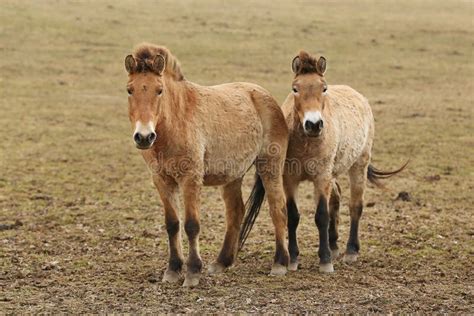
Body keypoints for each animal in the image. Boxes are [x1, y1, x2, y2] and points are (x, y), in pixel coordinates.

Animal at [124, 43, 288, 288]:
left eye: (159, 90)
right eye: (130, 90)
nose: (144, 137)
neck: (177, 120)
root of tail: (264, 95)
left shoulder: (190, 178)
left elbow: (191, 224)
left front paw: (192, 272)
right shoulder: (162, 180)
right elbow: (172, 223)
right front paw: (173, 270)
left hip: (270, 166)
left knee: (278, 208)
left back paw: (281, 263)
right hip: (233, 176)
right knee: (236, 212)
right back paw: (222, 262)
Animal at [241, 50, 408, 272]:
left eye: (324, 88)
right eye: (295, 88)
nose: (314, 124)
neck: (306, 143)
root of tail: (358, 96)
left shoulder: (321, 177)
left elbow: (321, 215)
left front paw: (325, 260)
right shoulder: (290, 180)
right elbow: (294, 216)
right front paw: (293, 259)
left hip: (359, 166)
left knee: (355, 205)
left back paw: (351, 251)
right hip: (333, 174)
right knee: (336, 199)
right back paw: (334, 245)